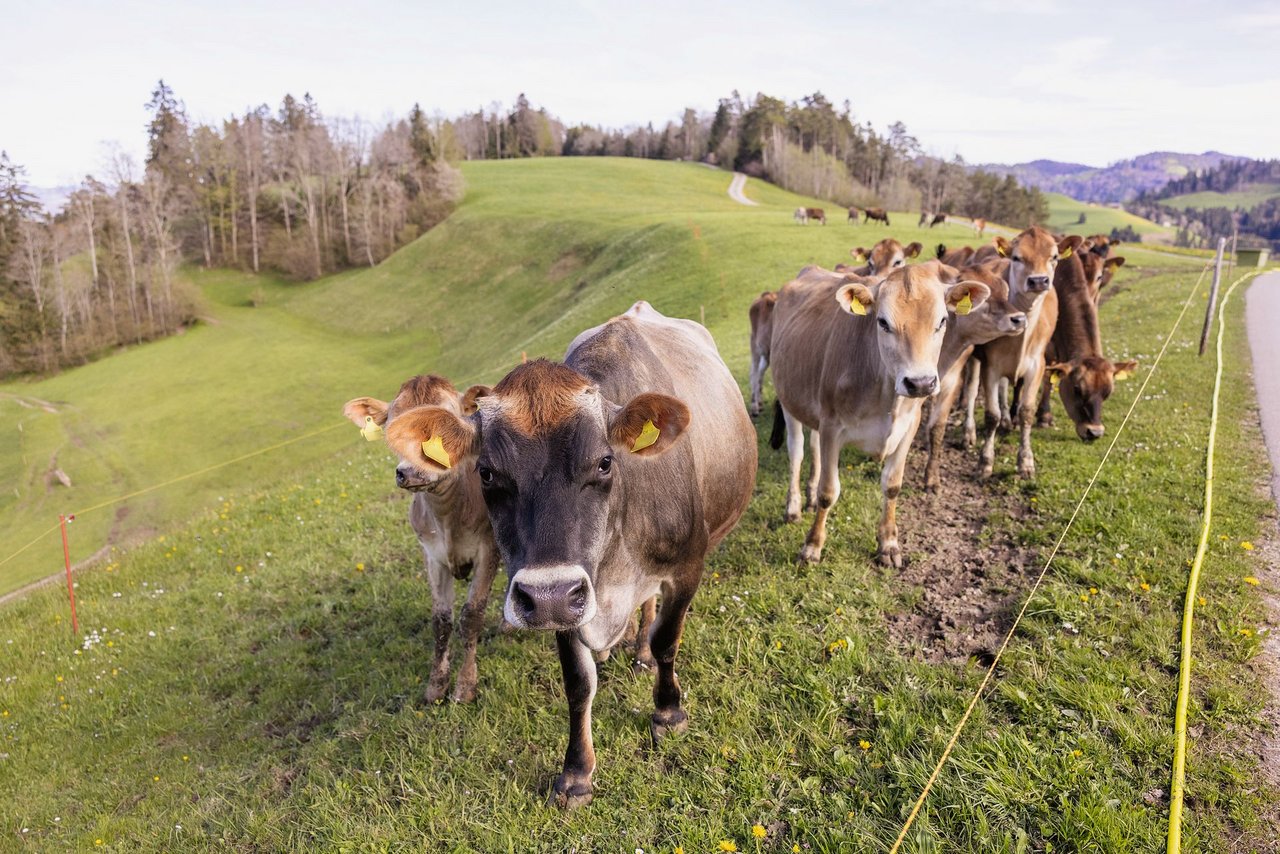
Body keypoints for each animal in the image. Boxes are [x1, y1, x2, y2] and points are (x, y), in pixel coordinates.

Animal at [345, 376, 499, 706]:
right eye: (392, 426)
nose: (411, 472)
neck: (448, 518)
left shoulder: (488, 549)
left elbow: (471, 616)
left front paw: (465, 686)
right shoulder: (432, 555)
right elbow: (441, 621)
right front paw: (436, 687)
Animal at [384, 300, 752, 809]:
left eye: (604, 461)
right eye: (486, 473)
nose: (552, 596)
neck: (614, 560)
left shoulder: (685, 567)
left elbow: (667, 640)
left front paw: (668, 711)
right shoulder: (556, 596)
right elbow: (578, 683)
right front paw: (577, 772)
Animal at [762, 261, 993, 568]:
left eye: (942, 320)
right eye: (883, 322)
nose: (920, 383)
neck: (886, 396)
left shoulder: (909, 426)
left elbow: (892, 485)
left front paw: (888, 544)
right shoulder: (832, 426)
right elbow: (829, 491)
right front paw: (812, 546)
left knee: (813, 449)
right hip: (790, 404)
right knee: (796, 453)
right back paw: (794, 507)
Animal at [962, 226, 1080, 481]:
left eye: (1054, 257)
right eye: (1016, 257)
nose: (1038, 280)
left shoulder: (1037, 366)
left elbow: (1026, 412)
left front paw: (1026, 462)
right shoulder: (991, 366)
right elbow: (991, 415)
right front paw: (985, 462)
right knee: (971, 390)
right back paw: (968, 433)